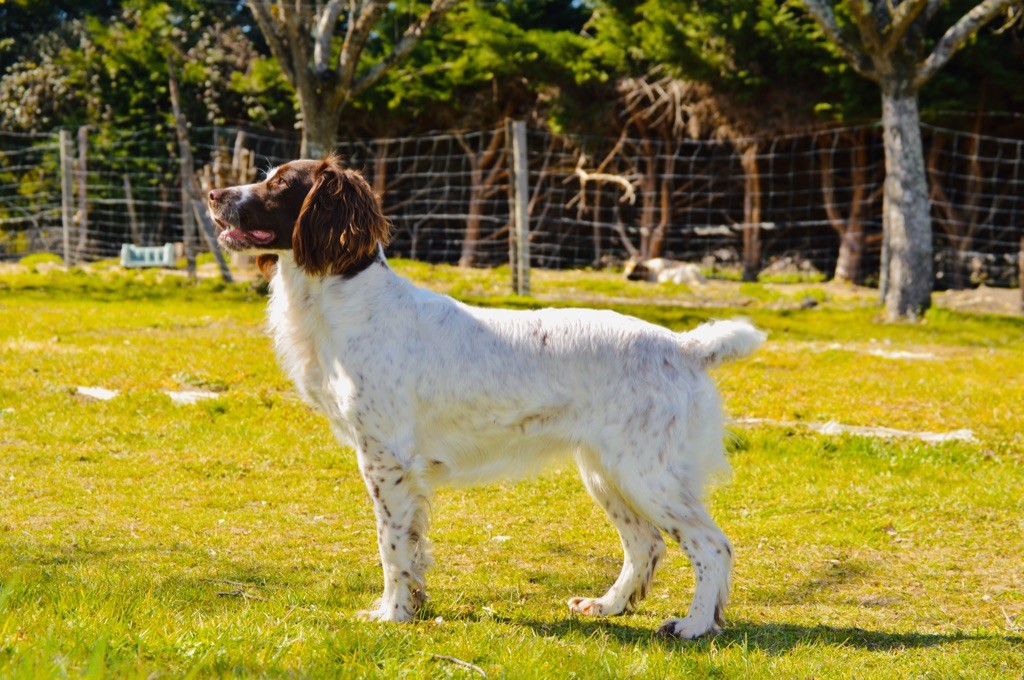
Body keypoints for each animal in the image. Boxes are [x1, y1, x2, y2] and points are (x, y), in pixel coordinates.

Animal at [207, 155, 765, 639]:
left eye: (281, 184)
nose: (213, 193)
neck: (350, 302)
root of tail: (684, 346)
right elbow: (412, 551)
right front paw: (411, 606)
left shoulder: (386, 460)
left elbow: (391, 548)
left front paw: (392, 614)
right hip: (605, 471)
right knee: (645, 545)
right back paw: (607, 606)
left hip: (645, 473)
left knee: (711, 545)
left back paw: (695, 624)